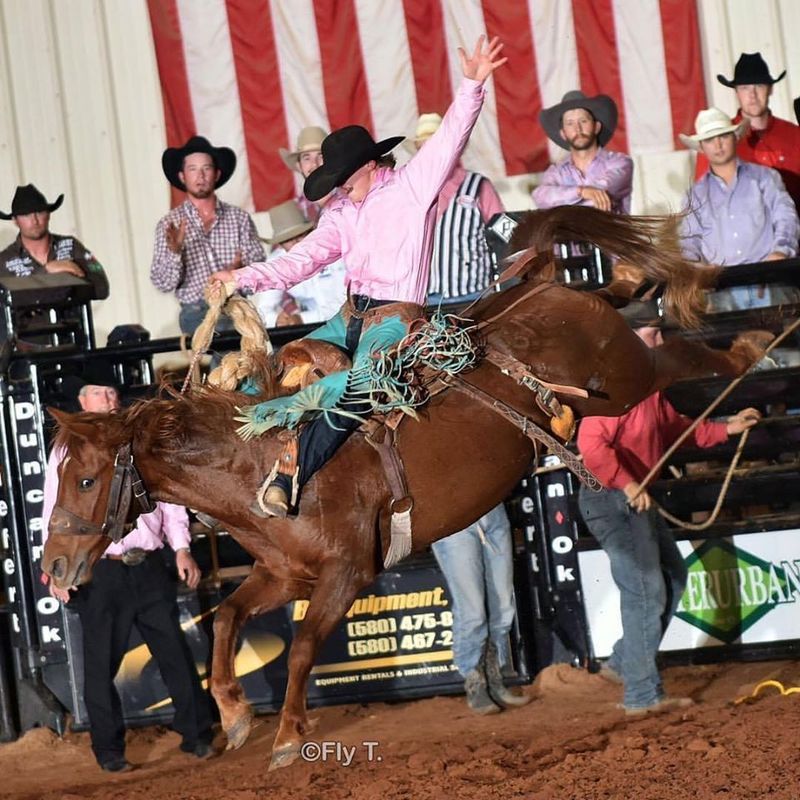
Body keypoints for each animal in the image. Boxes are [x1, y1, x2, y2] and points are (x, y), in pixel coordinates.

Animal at [42, 208, 768, 768]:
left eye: (85, 478)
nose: (53, 567)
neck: (261, 467)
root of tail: (542, 288)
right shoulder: (284, 575)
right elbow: (223, 618)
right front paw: (236, 713)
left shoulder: (346, 573)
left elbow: (302, 648)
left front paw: (287, 736)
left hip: (623, 374)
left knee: (677, 356)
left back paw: (752, 346)